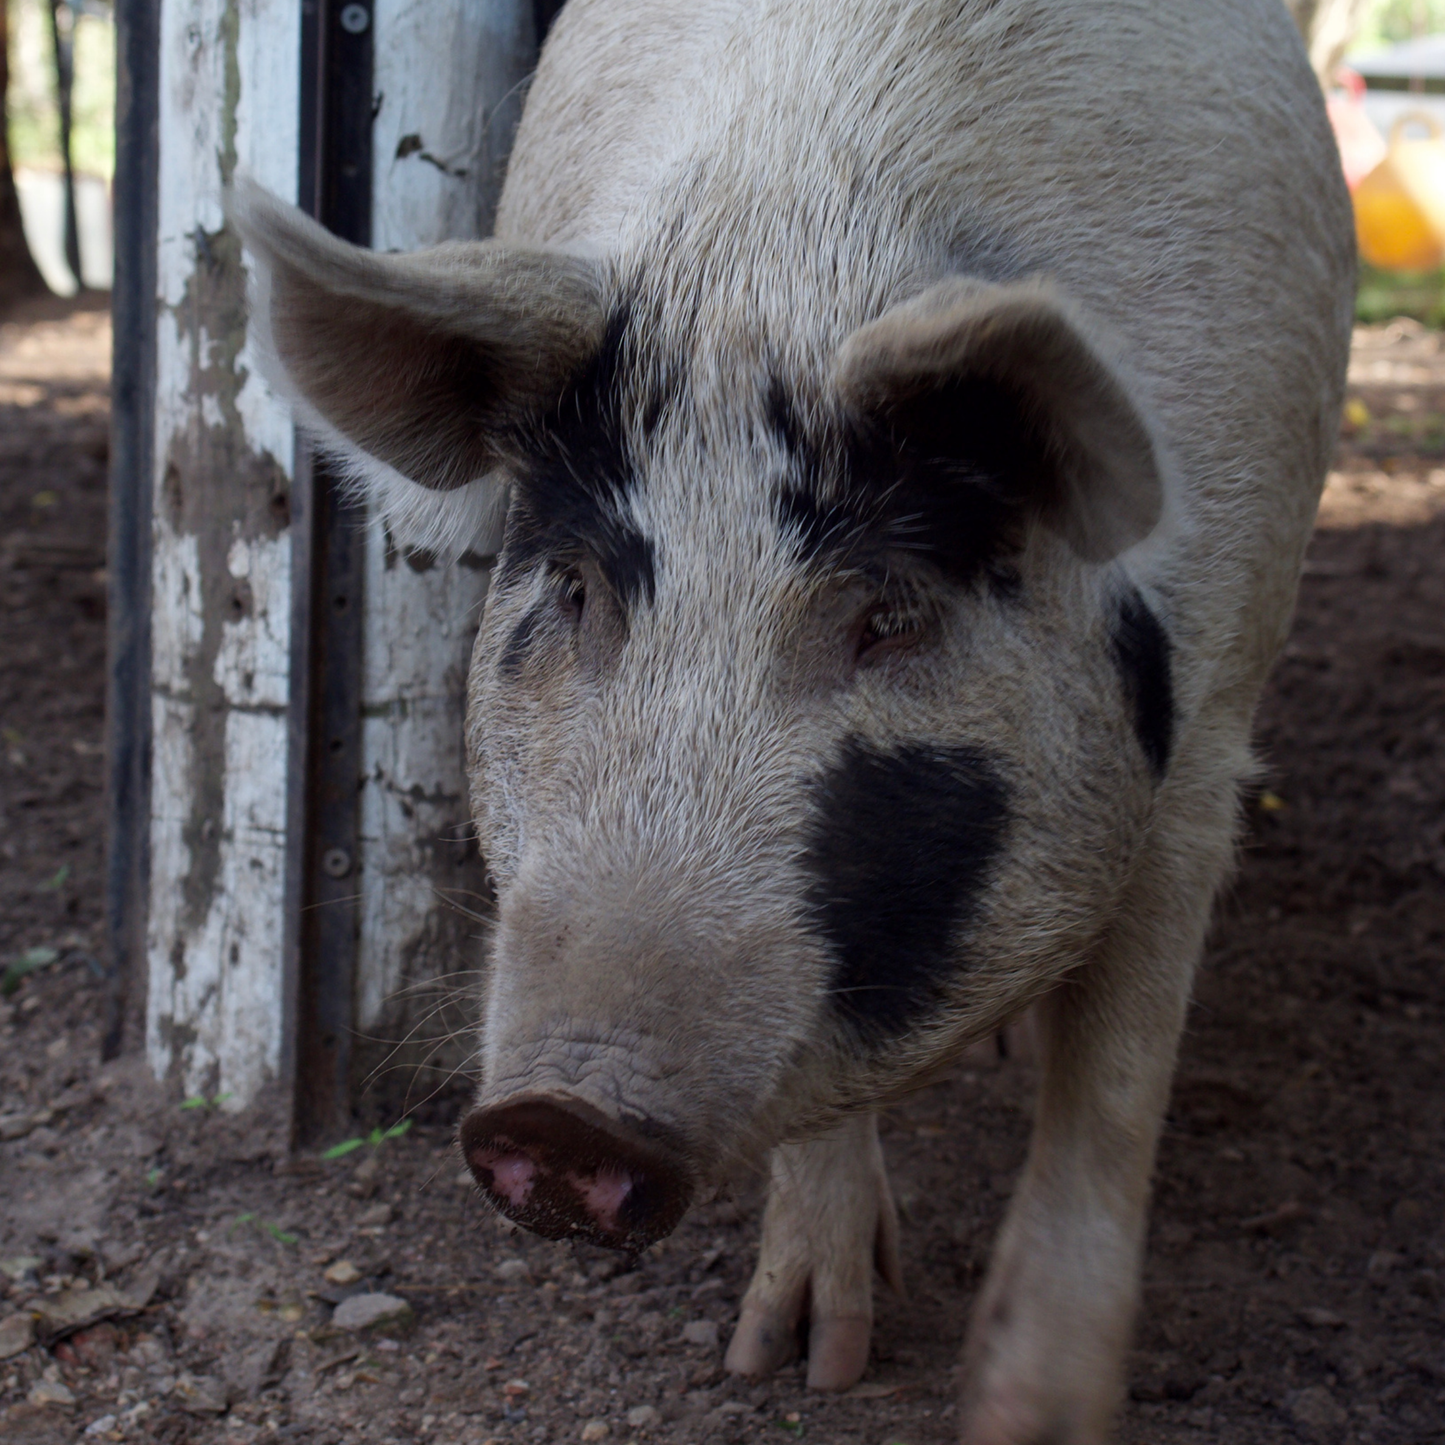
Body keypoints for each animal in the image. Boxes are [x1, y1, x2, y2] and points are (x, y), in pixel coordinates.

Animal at [233, 0, 1354, 1437]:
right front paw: (794, 1359)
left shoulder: (1209, 731)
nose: (557, 1121)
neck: (790, 256)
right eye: (577, 584)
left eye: (884, 615)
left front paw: (1026, 1412)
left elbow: (1111, 1087)